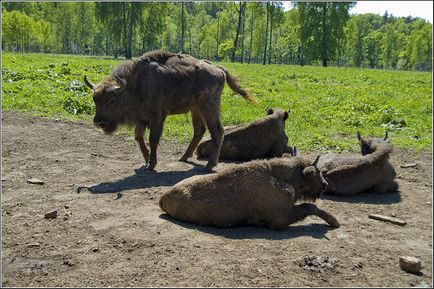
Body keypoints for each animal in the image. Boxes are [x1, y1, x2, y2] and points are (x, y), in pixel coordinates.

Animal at [83, 50, 256, 170]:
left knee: (217, 131)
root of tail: (218, 68)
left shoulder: (158, 116)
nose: (98, 122)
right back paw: (184, 158)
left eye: (111, 100)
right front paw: (146, 161)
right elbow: (139, 138)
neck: (134, 85)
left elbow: (153, 139)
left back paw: (210, 165)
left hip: (208, 107)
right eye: (94, 99)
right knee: (199, 130)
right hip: (195, 109)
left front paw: (152, 164)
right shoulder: (141, 119)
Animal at [158, 156, 340, 228]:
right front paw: (334, 221)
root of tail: (163, 196)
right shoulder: (281, 219)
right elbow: (310, 207)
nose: (324, 184)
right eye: (315, 173)